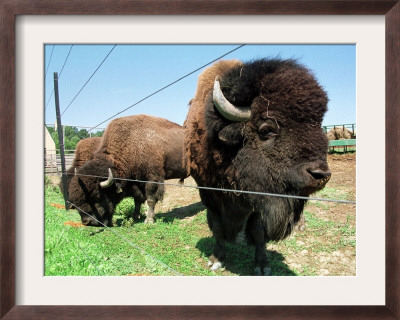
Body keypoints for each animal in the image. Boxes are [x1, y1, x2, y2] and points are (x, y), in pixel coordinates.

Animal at [184, 58, 332, 276]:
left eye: (318, 126)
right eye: (267, 129)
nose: (321, 174)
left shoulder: (258, 200)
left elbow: (258, 231)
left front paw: (262, 265)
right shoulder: (208, 193)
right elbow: (217, 227)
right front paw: (216, 260)